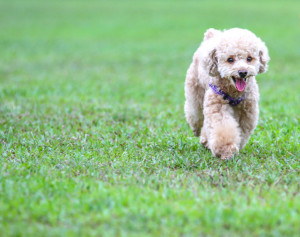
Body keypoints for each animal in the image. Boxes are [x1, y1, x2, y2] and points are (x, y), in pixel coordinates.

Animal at [184, 28, 270, 160]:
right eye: (230, 59)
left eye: (249, 58)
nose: (243, 72)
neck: (234, 92)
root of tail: (211, 35)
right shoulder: (217, 105)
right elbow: (222, 127)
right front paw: (225, 149)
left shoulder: (247, 111)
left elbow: (242, 130)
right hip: (195, 91)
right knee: (195, 113)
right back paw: (197, 131)